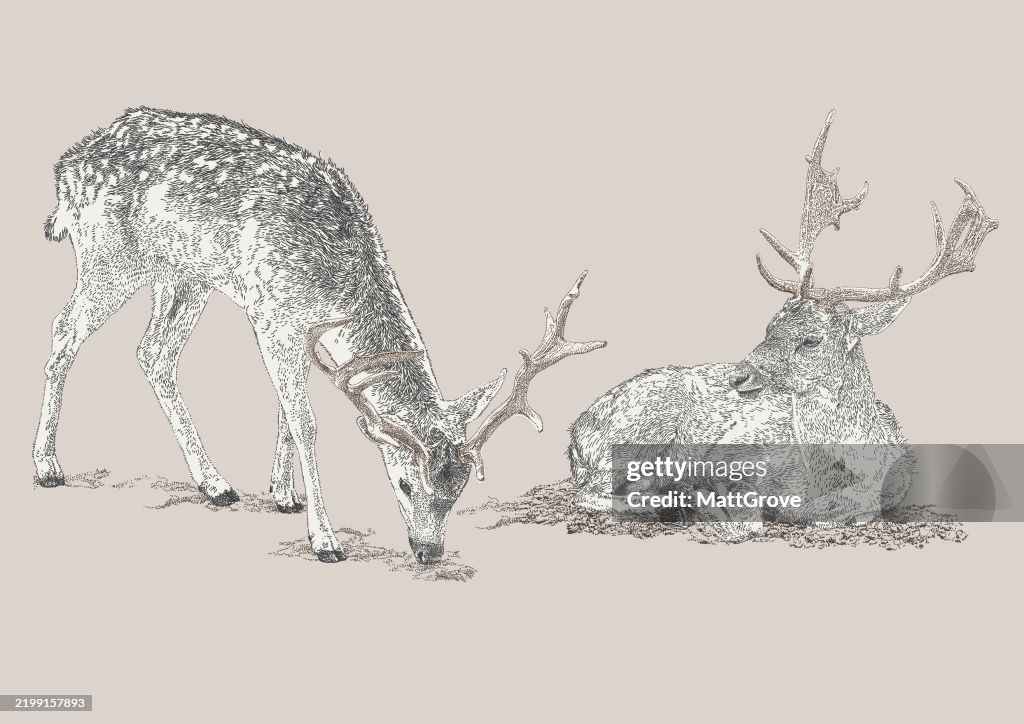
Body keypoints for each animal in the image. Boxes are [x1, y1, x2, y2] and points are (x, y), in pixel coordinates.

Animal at [33, 106, 606, 563]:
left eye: (460, 487)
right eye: (403, 482)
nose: (429, 551)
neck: (334, 276)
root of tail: (65, 168)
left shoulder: (307, 334)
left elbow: (285, 413)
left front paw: (283, 494)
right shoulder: (271, 316)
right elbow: (306, 422)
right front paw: (325, 540)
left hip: (185, 274)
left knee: (152, 353)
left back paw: (215, 484)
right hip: (110, 256)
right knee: (64, 332)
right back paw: (47, 466)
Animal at [568, 110, 998, 540]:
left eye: (811, 340)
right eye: (769, 324)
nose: (739, 375)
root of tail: (575, 431)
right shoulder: (737, 454)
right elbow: (746, 519)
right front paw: (701, 504)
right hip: (636, 433)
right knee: (591, 492)